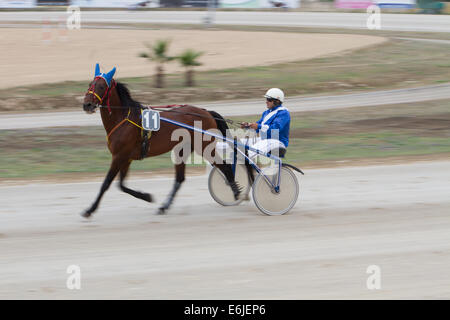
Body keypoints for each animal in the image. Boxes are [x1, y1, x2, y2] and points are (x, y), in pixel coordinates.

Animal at [82, 64, 241, 218]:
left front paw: (90, 209)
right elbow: (121, 185)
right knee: (180, 178)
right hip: (182, 149)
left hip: (204, 147)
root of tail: (206, 112)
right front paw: (146, 196)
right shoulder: (126, 158)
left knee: (225, 166)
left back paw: (236, 193)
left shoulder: (119, 156)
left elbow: (107, 183)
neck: (123, 119)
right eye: (90, 84)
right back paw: (164, 206)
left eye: (101, 86)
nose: (87, 105)